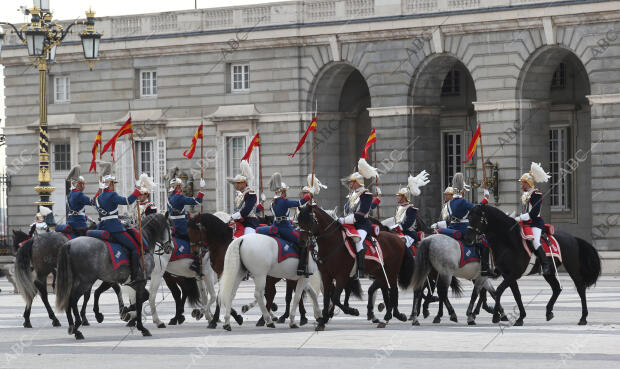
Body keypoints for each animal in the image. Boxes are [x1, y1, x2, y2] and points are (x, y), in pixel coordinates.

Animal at [464, 203, 600, 324]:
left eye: (476, 218)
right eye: (468, 217)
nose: (468, 239)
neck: (508, 242)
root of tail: (573, 238)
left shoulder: (514, 274)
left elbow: (499, 290)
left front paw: (497, 316)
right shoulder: (508, 275)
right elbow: (516, 295)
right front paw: (520, 317)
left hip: (572, 267)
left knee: (580, 287)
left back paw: (583, 318)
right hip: (549, 272)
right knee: (556, 288)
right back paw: (549, 312)